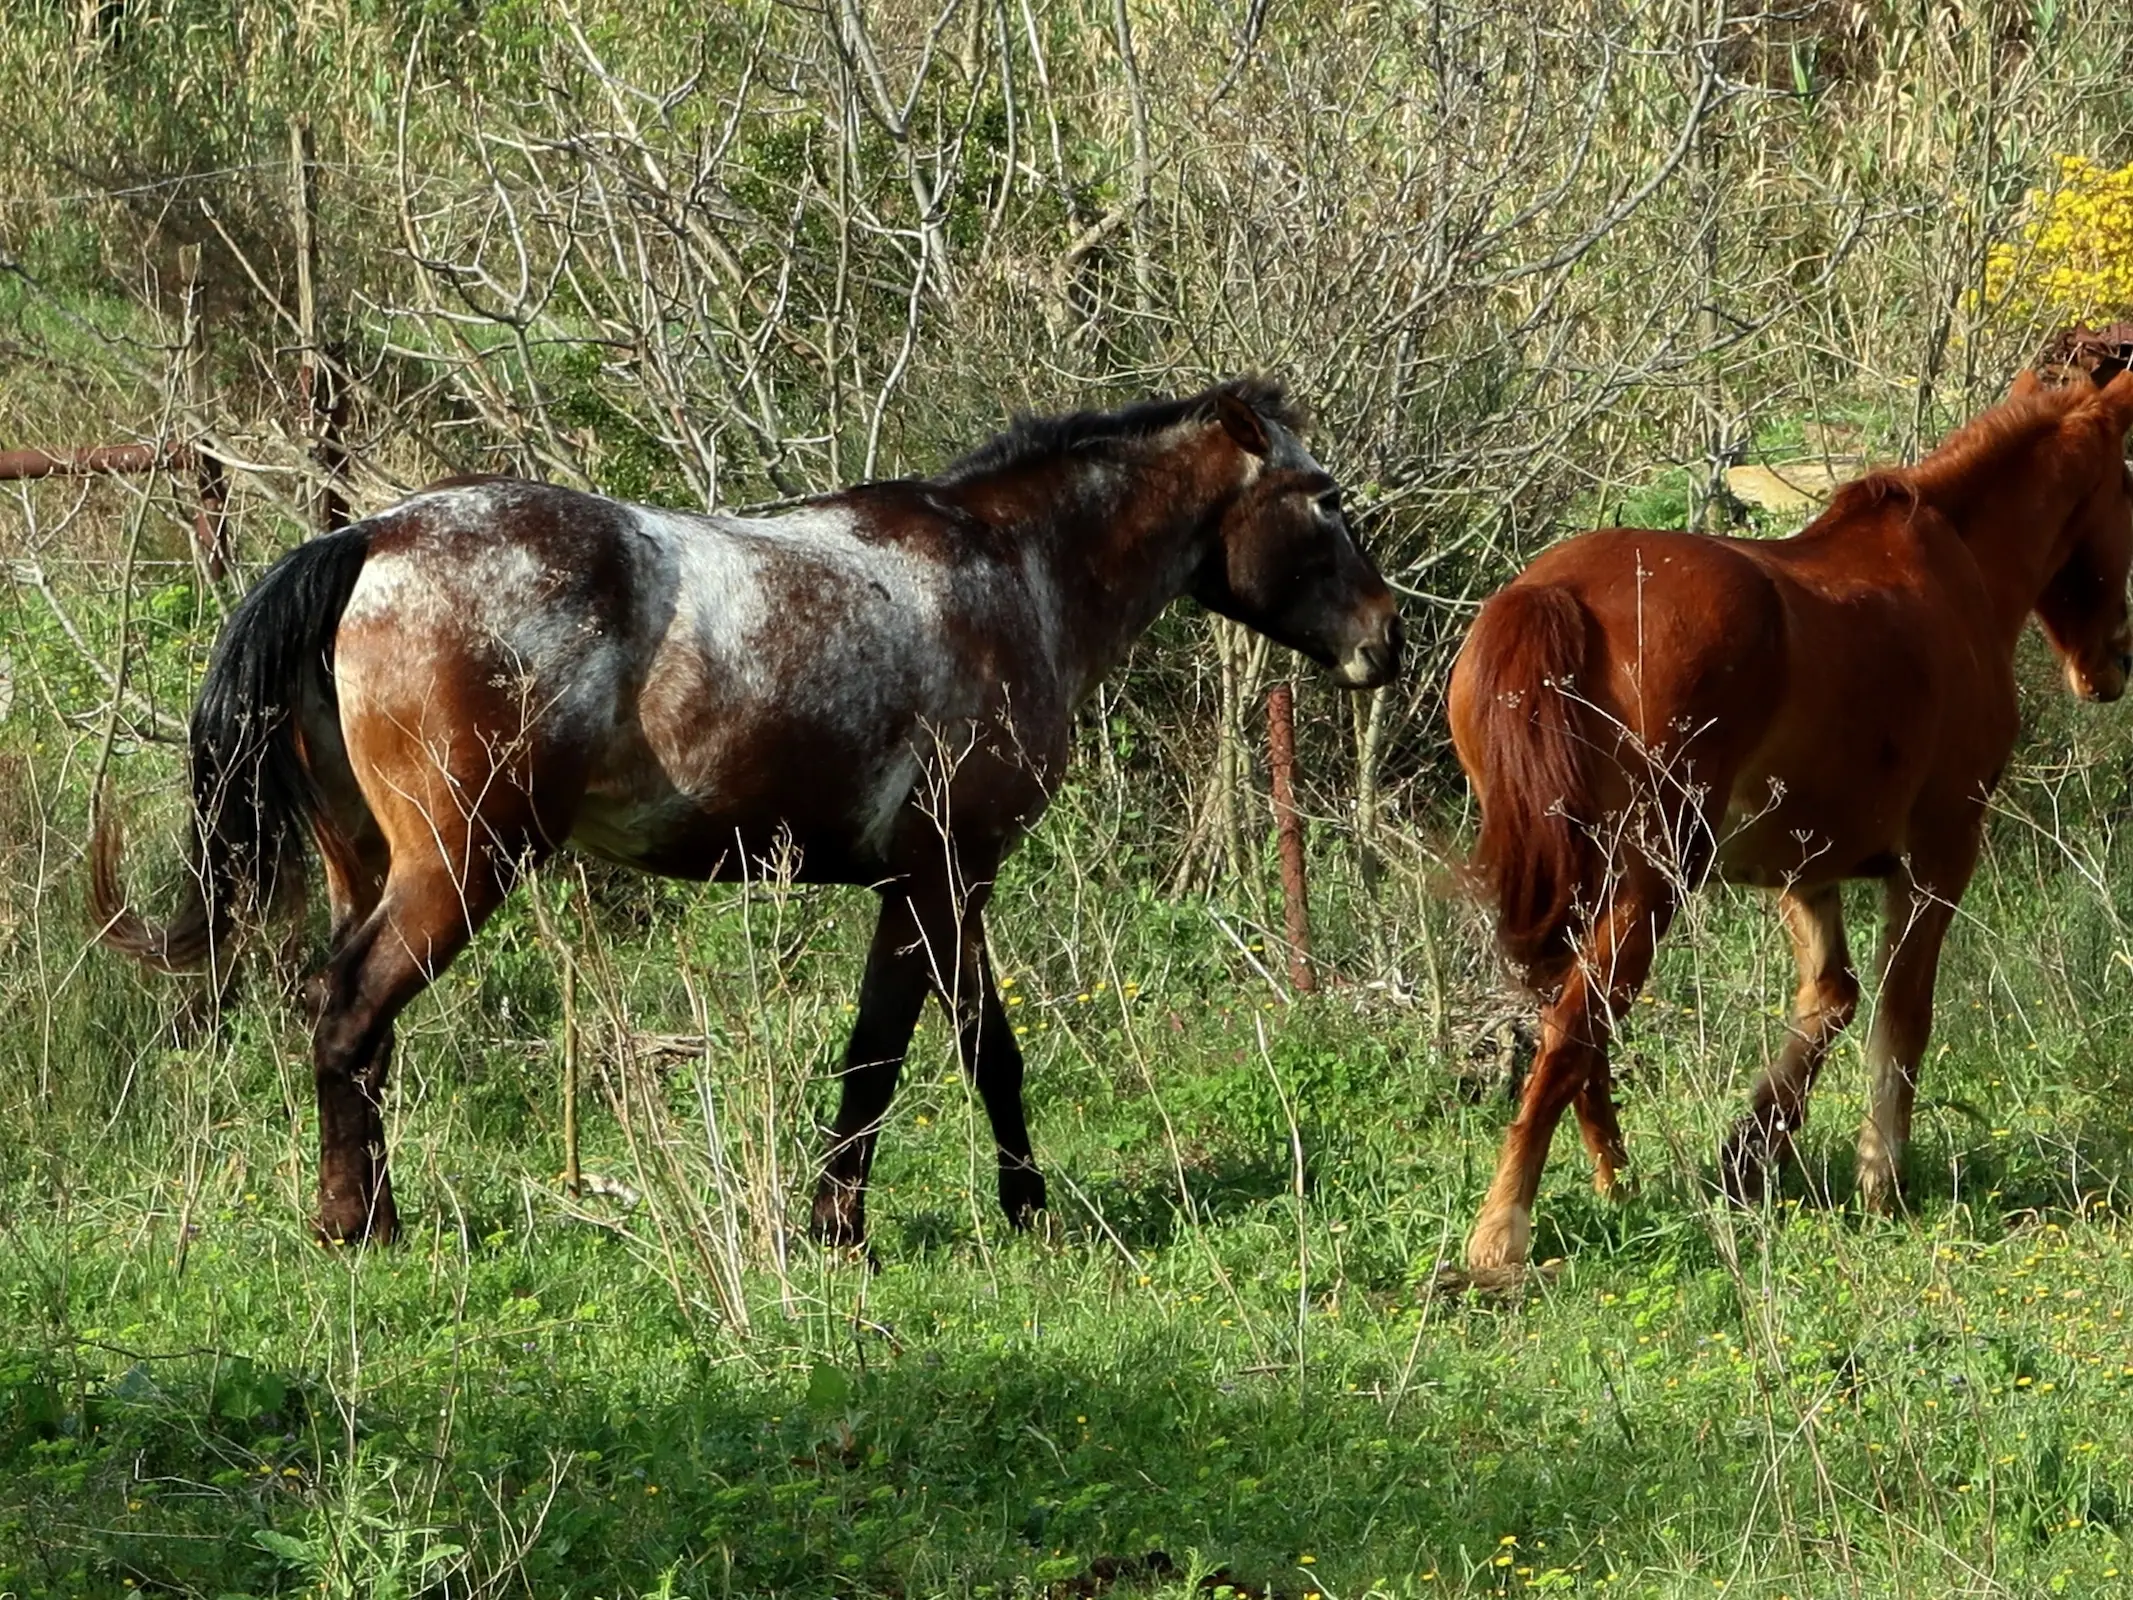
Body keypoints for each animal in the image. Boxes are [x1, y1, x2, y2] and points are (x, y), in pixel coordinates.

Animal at [95, 379, 1399, 1254]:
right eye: (1322, 500)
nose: (1386, 639)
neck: (1008, 575)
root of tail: (368, 537)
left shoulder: (926, 884)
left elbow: (931, 1047)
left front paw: (904, 1216)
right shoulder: (946, 874)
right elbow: (930, 1050)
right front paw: (933, 1219)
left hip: (369, 865)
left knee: (360, 1034)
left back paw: (367, 1213)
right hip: (461, 866)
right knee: (350, 1012)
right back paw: (359, 1229)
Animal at [1450, 373, 2133, 1280]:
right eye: (2128, 486)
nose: (2114, 664)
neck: (1950, 571)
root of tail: (1553, 596)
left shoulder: (1802, 870)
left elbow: (1831, 998)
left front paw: (1749, 1151)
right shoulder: (1939, 852)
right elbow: (1899, 1016)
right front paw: (1880, 1181)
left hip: (1586, 875)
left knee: (1572, 1024)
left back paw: (1614, 1185)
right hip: (1651, 879)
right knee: (1572, 1026)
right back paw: (1502, 1231)